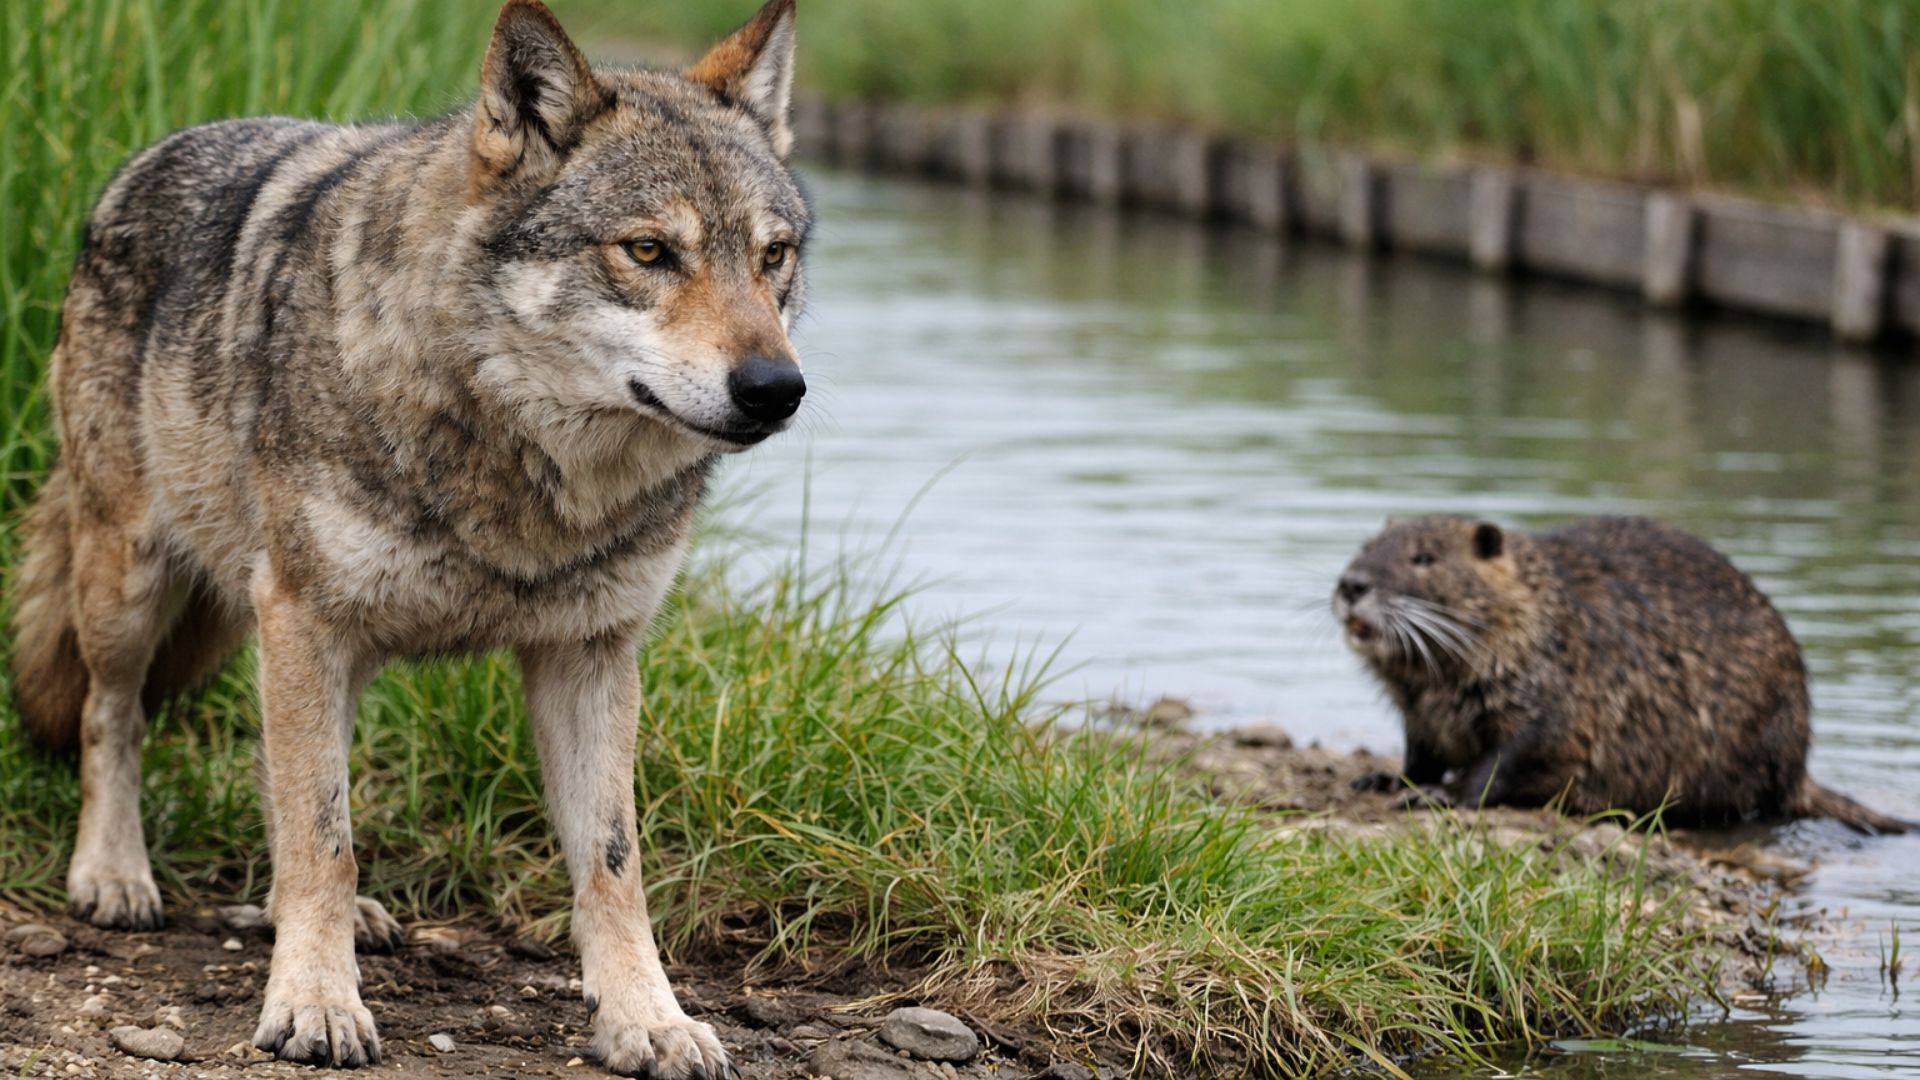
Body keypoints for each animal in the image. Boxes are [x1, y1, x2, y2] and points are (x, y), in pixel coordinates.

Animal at [6, 0, 807, 1074]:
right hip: (135, 591)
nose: (777, 388)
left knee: (278, 774)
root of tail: (150, 157)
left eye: (773, 256)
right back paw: (114, 874)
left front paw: (649, 1019)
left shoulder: (591, 654)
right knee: (114, 717)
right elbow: (325, 838)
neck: (519, 469)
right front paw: (314, 1001)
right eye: (647, 252)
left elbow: (612, 863)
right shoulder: (305, 619)